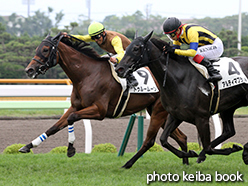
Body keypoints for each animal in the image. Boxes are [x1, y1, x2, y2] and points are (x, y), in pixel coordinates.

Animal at [20, 32, 188, 168]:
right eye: (37, 49)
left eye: (45, 49)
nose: (29, 70)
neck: (87, 75)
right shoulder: (75, 106)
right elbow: (55, 126)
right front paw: (28, 146)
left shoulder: (99, 110)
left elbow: (71, 118)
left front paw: (71, 149)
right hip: (156, 111)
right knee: (182, 137)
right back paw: (186, 161)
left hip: (159, 111)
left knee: (151, 141)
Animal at [115, 31, 248, 165]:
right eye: (127, 48)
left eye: (136, 48)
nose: (119, 69)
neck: (180, 80)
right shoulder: (176, 115)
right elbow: (163, 140)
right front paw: (190, 153)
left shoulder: (202, 117)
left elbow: (208, 148)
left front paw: (232, 149)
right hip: (229, 107)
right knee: (229, 131)